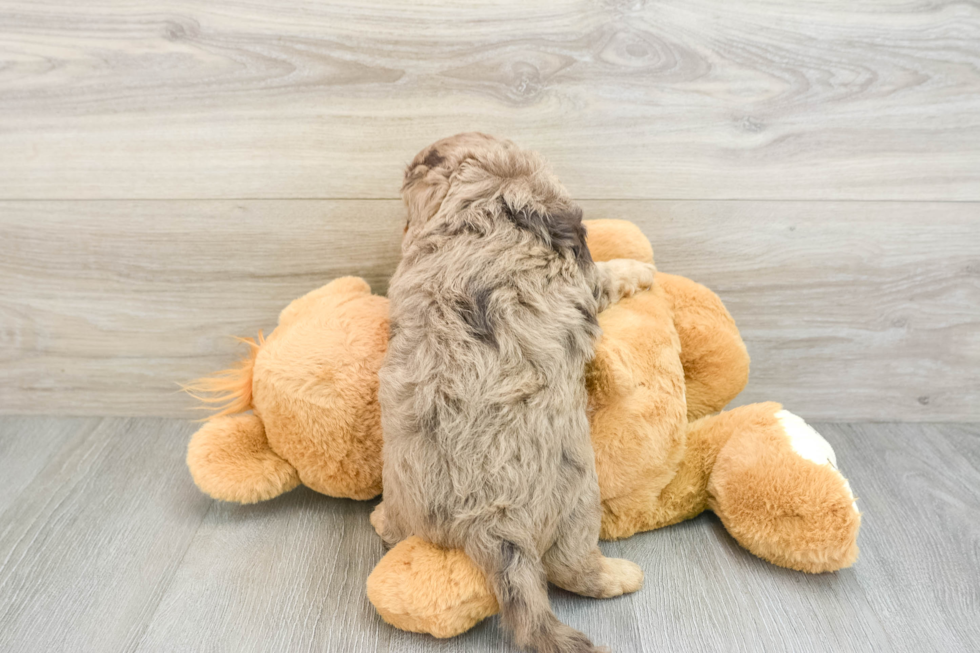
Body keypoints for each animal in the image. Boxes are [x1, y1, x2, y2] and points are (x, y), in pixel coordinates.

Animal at [378, 134, 656, 652]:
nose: (403, 228)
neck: (485, 207)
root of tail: (489, 523)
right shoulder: (586, 279)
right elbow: (612, 274)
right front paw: (643, 270)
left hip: (409, 500)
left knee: (400, 532)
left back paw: (379, 519)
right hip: (578, 501)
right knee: (571, 567)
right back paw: (620, 575)